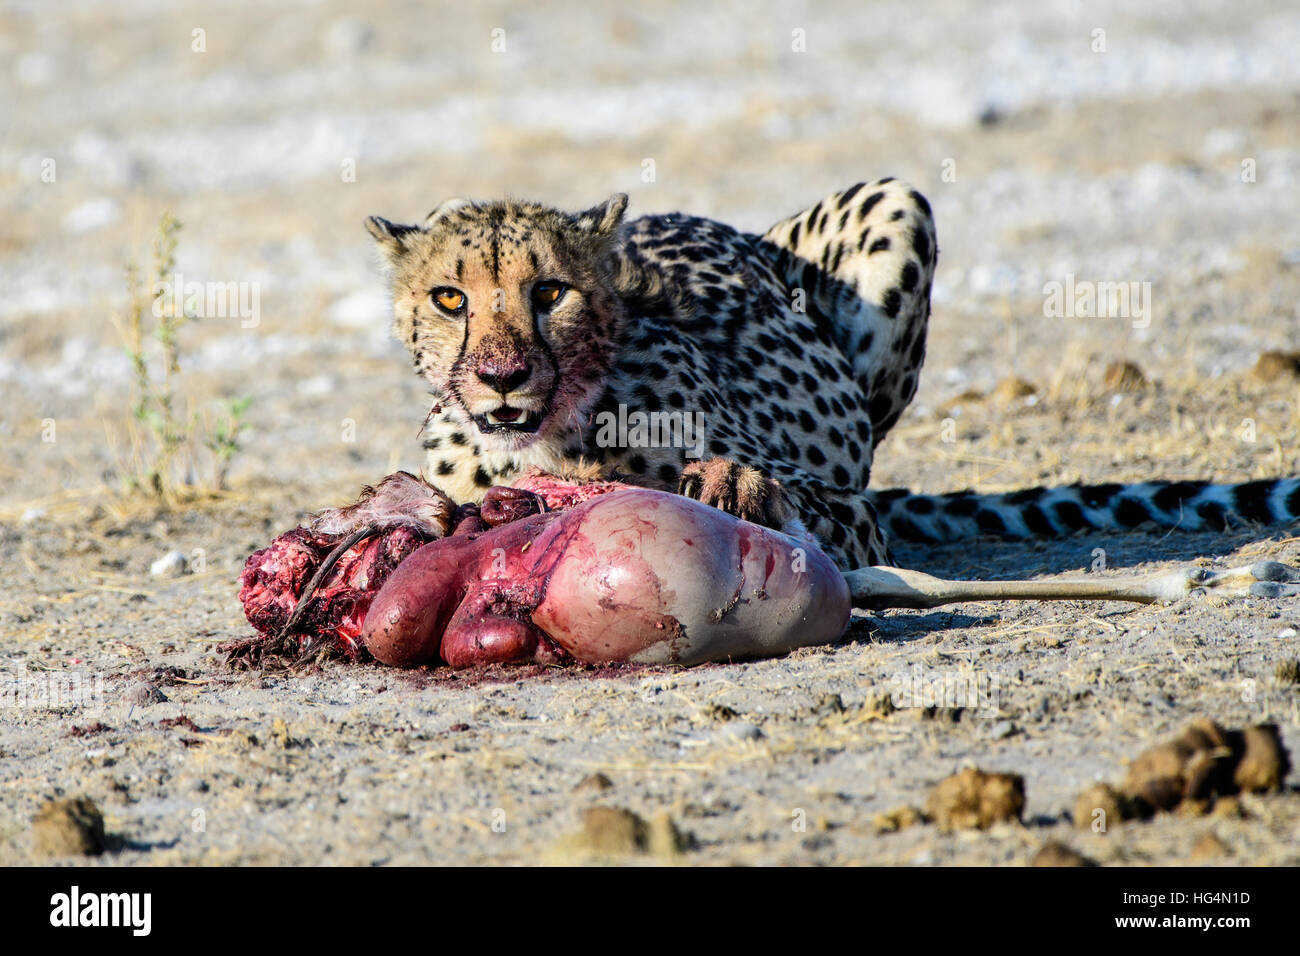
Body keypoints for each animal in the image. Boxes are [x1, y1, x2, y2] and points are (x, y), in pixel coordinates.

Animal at [364, 180, 1300, 598]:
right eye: (450, 299)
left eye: (550, 291)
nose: (504, 375)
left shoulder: (854, 515)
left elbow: (801, 499)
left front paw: (740, 487)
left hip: (896, 205)